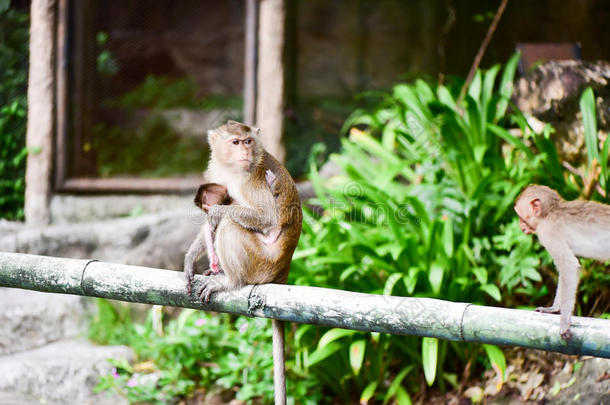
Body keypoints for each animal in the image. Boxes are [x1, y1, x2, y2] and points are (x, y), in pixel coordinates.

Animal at [183, 120, 302, 404]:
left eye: (248, 141)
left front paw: (216, 212)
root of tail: (283, 270)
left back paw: (230, 281)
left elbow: (266, 216)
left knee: (230, 224)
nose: (245, 152)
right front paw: (190, 259)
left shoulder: (253, 178)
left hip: (260, 262)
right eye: (236, 142)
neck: (234, 170)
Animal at [512, 185, 608, 340]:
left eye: (521, 217)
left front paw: (564, 321)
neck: (550, 213)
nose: (521, 227)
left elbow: (568, 265)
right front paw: (554, 309)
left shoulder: (547, 232)